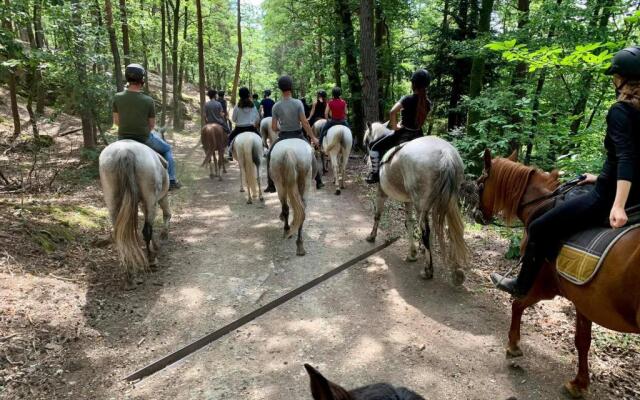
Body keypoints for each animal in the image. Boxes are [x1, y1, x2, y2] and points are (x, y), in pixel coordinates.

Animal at [99, 141, 171, 282]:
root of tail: (124, 152)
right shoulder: (160, 198)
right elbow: (167, 214)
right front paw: (162, 237)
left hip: (113, 202)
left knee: (119, 235)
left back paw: (128, 268)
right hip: (150, 200)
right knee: (147, 230)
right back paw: (151, 260)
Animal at [364, 122, 470, 284]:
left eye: (367, 142)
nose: (367, 161)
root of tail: (444, 154)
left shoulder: (382, 191)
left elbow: (378, 214)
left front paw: (372, 236)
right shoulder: (408, 200)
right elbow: (409, 222)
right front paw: (414, 252)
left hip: (422, 204)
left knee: (426, 231)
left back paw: (428, 271)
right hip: (447, 202)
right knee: (452, 230)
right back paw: (457, 273)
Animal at [478, 149, 636, 396]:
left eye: (479, 184)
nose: (476, 214)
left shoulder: (544, 285)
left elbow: (517, 303)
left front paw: (513, 345)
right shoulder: (584, 300)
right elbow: (583, 340)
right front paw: (580, 383)